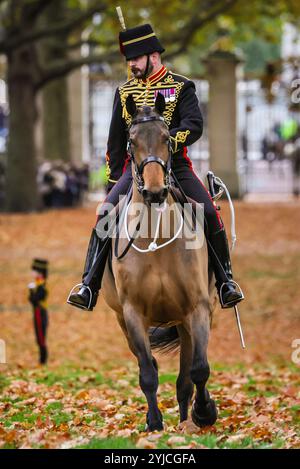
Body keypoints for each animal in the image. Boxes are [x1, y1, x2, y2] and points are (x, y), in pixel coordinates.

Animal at [102, 93, 217, 430]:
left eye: (167, 138)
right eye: (131, 140)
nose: (155, 192)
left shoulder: (197, 309)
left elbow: (198, 370)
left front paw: (204, 413)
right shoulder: (132, 314)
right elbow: (148, 374)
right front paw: (154, 422)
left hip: (186, 321)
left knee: (186, 377)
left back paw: (188, 418)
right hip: (123, 321)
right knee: (151, 365)